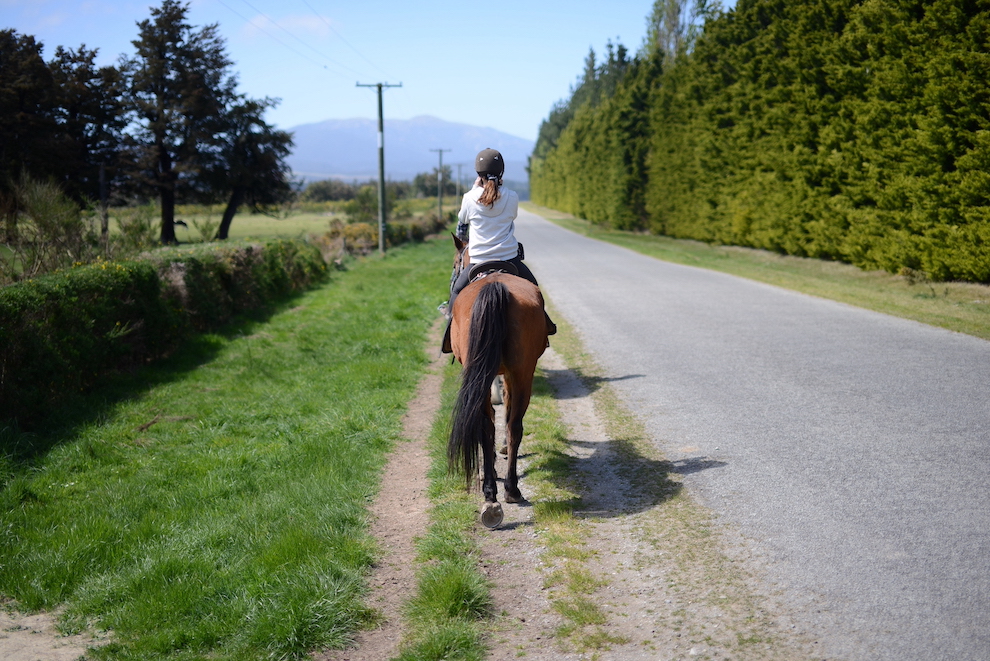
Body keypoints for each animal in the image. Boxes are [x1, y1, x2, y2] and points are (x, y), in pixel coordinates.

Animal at [450, 235, 552, 528]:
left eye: (455, 262)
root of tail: (494, 285)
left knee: (495, 424)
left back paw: (498, 493)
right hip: (521, 371)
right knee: (510, 424)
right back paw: (502, 492)